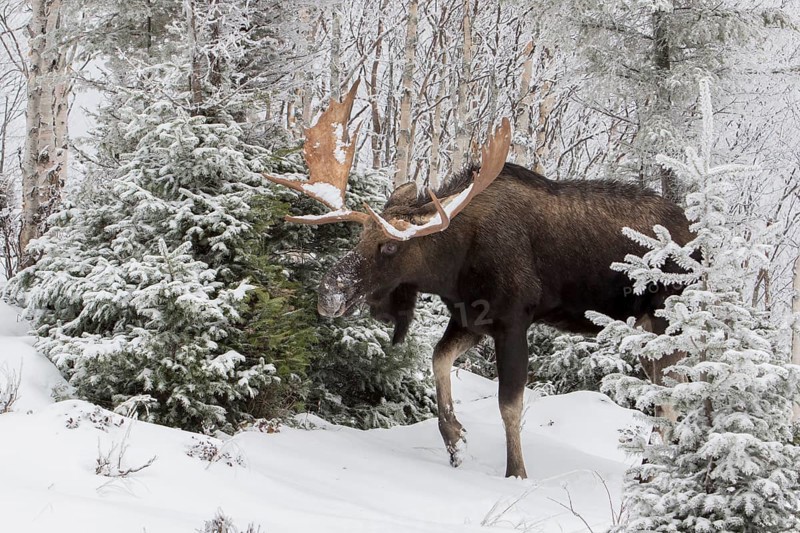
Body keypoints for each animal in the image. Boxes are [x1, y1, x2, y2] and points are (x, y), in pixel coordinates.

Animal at [264, 82, 693, 479]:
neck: (452, 268)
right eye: (359, 237)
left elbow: (509, 404)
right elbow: (438, 358)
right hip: (644, 331)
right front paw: (455, 438)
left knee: (671, 398)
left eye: (389, 246)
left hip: (665, 320)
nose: (328, 293)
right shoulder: (470, 318)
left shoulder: (512, 320)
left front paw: (516, 473)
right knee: (666, 396)